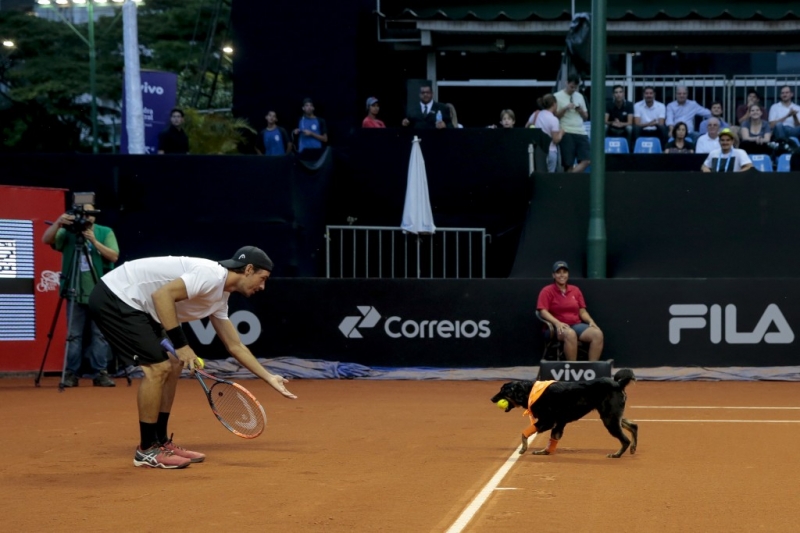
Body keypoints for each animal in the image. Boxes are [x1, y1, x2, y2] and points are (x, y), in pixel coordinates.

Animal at [488, 370, 636, 458]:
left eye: (503, 391)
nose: (492, 399)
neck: (529, 391)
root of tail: (618, 383)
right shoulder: (558, 423)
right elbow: (553, 438)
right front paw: (545, 452)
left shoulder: (547, 421)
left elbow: (524, 433)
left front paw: (524, 448)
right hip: (612, 416)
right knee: (634, 426)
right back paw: (633, 448)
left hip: (609, 419)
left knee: (625, 440)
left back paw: (617, 454)